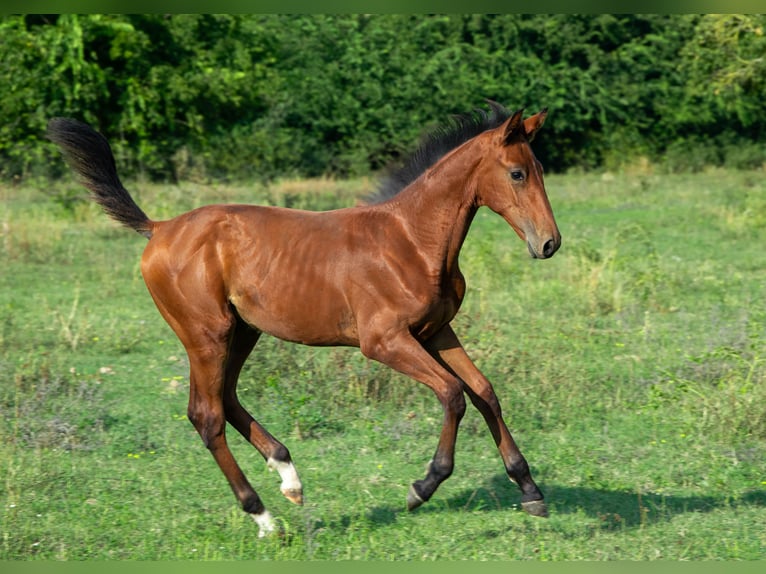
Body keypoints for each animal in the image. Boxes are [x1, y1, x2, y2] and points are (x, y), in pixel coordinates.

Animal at [49, 103, 564, 540]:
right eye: (517, 173)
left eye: (541, 171)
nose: (549, 244)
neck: (411, 240)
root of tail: (159, 228)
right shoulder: (384, 341)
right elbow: (453, 394)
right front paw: (424, 486)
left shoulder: (437, 331)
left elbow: (485, 393)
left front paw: (530, 490)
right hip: (206, 334)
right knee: (206, 415)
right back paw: (263, 516)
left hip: (243, 331)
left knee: (227, 399)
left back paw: (288, 476)